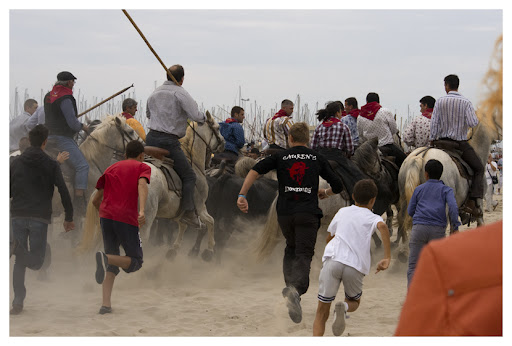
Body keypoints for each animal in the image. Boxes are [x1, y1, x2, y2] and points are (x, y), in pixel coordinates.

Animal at [79, 112, 225, 260]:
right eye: (218, 128)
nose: (223, 143)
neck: (192, 161)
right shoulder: (199, 207)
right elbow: (210, 221)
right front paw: (209, 250)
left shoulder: (177, 211)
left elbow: (183, 225)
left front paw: (174, 249)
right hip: (144, 223)